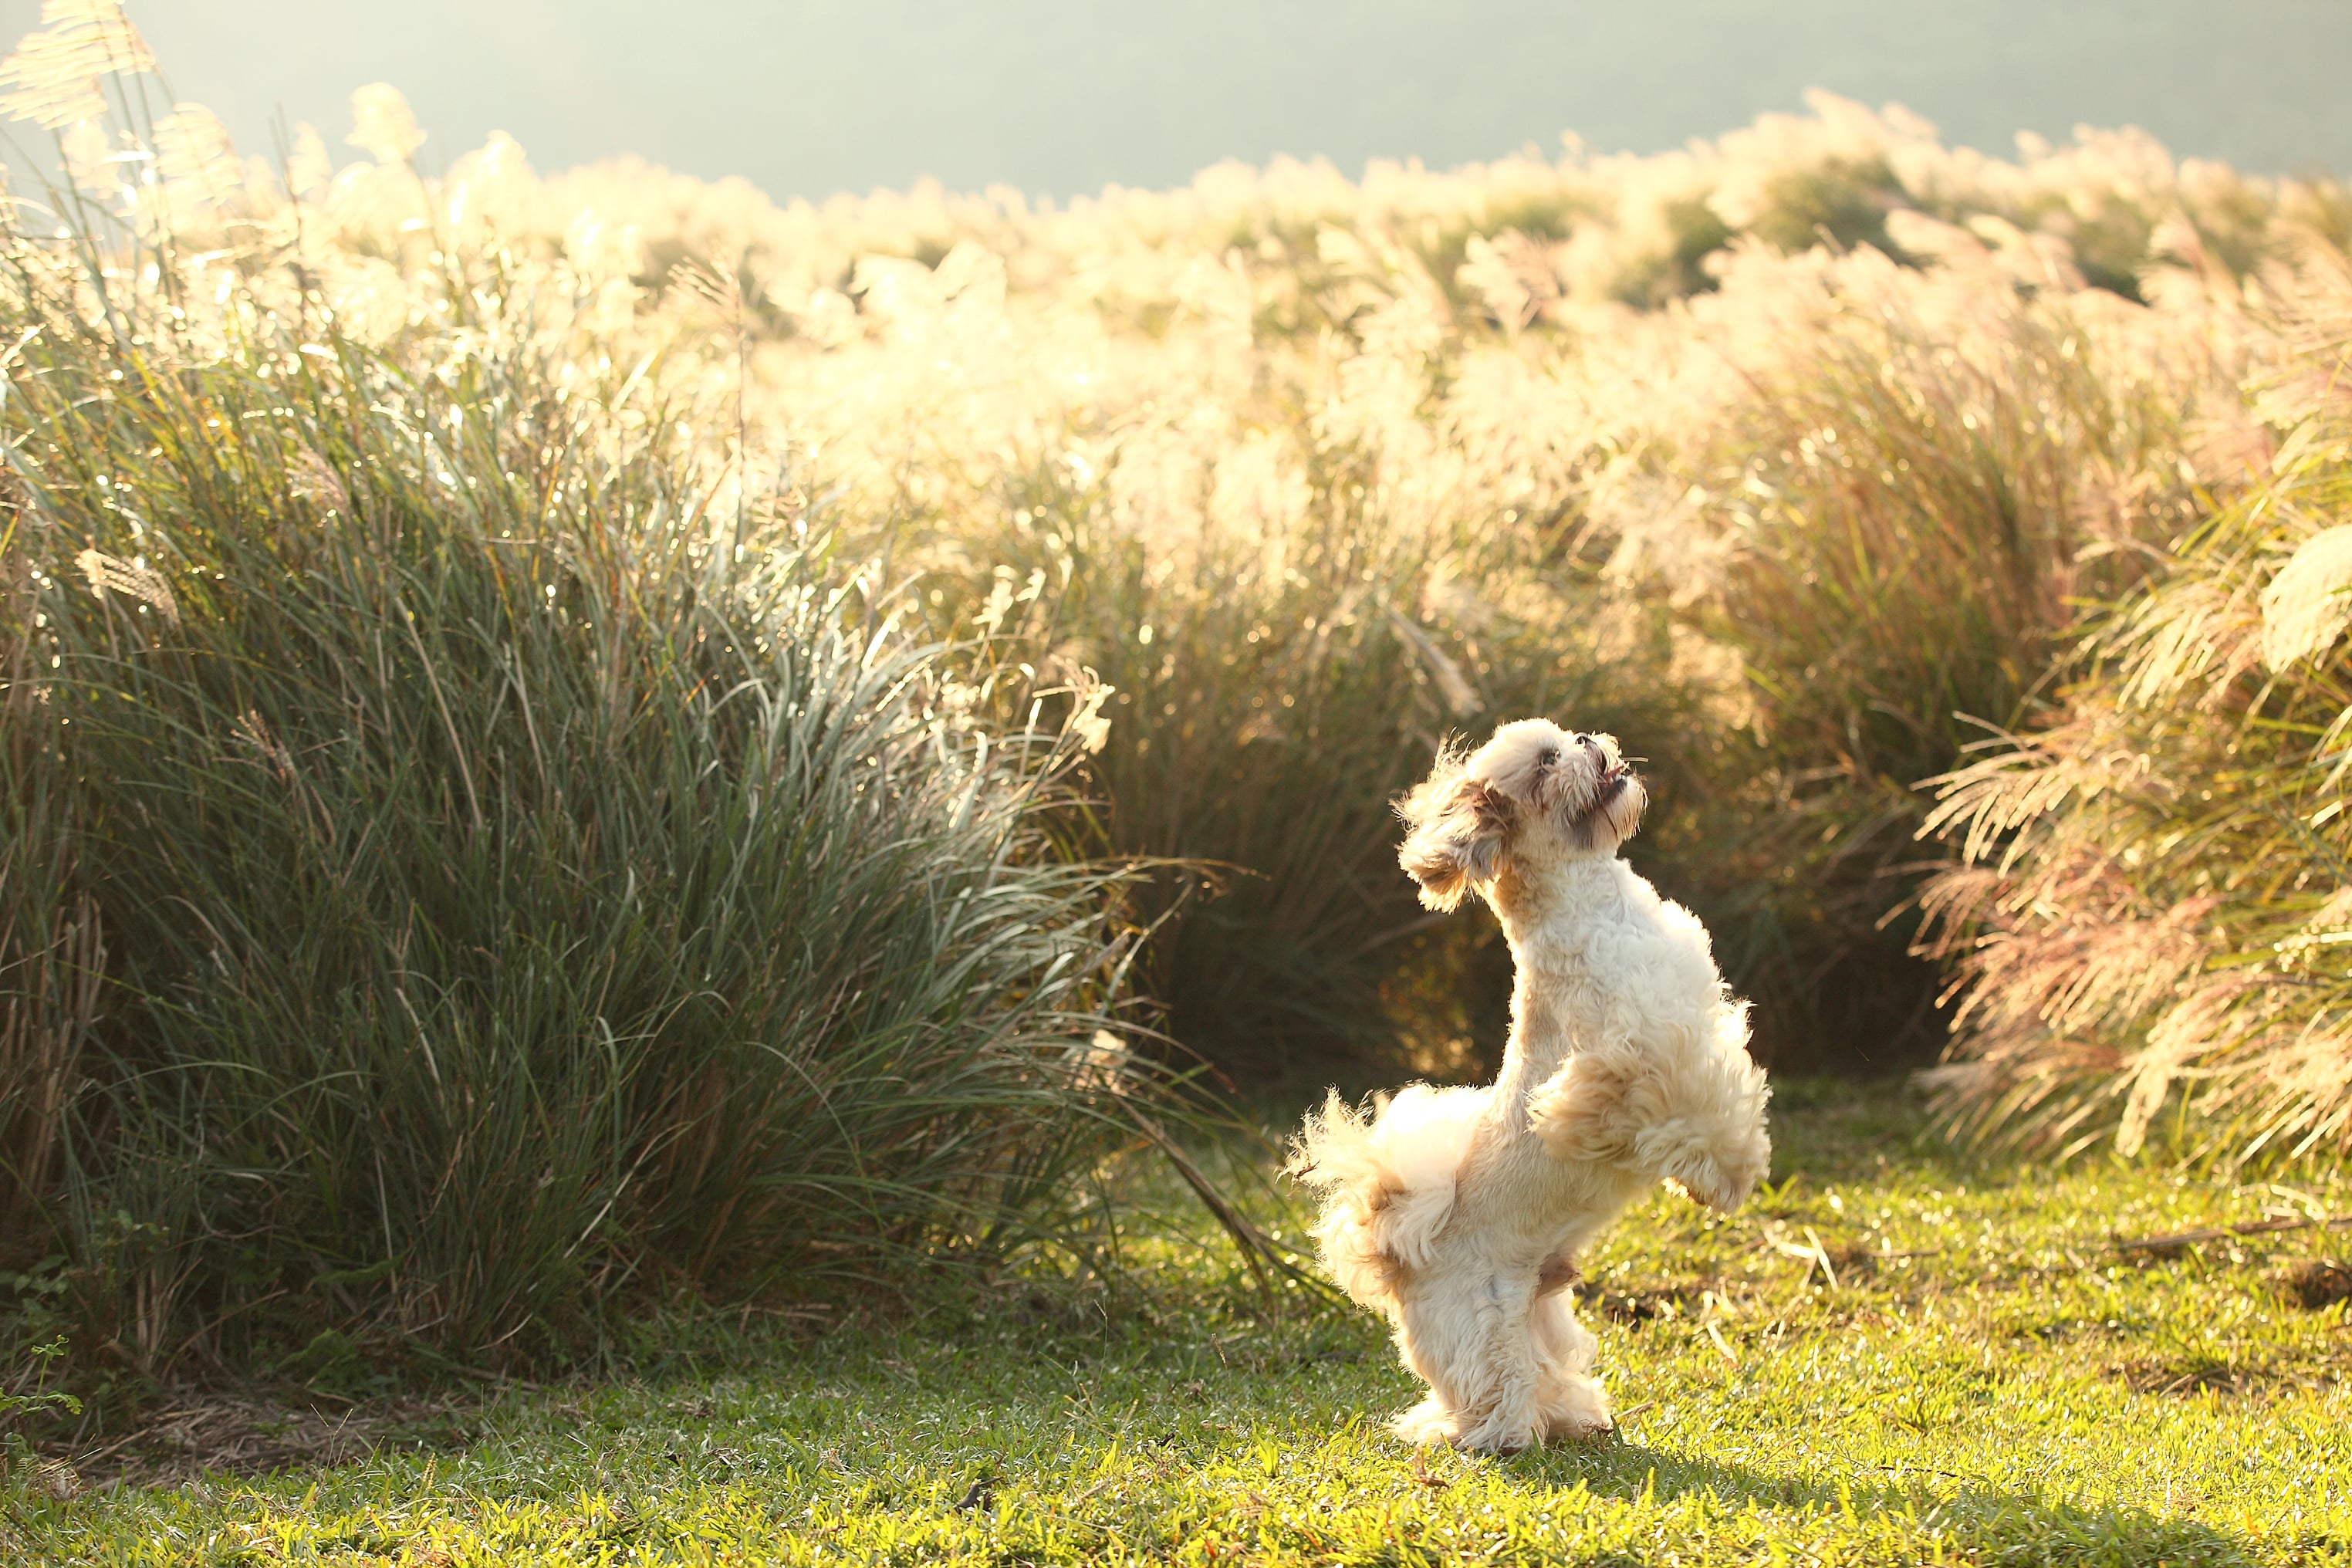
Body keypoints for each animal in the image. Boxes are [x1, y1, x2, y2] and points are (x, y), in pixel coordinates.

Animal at [1289, 724, 1769, 1457]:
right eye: (1547, 764)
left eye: (1564, 739)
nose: (1586, 739)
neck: (1597, 900)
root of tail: (1399, 1255)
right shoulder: (1633, 1061)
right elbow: (1697, 1113)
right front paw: (1727, 1178)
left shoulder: (1681, 1024)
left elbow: (1721, 1084)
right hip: (1487, 1335)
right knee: (1486, 1401)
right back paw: (1500, 1438)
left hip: (1544, 1319)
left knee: (1538, 1380)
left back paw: (1573, 1417)